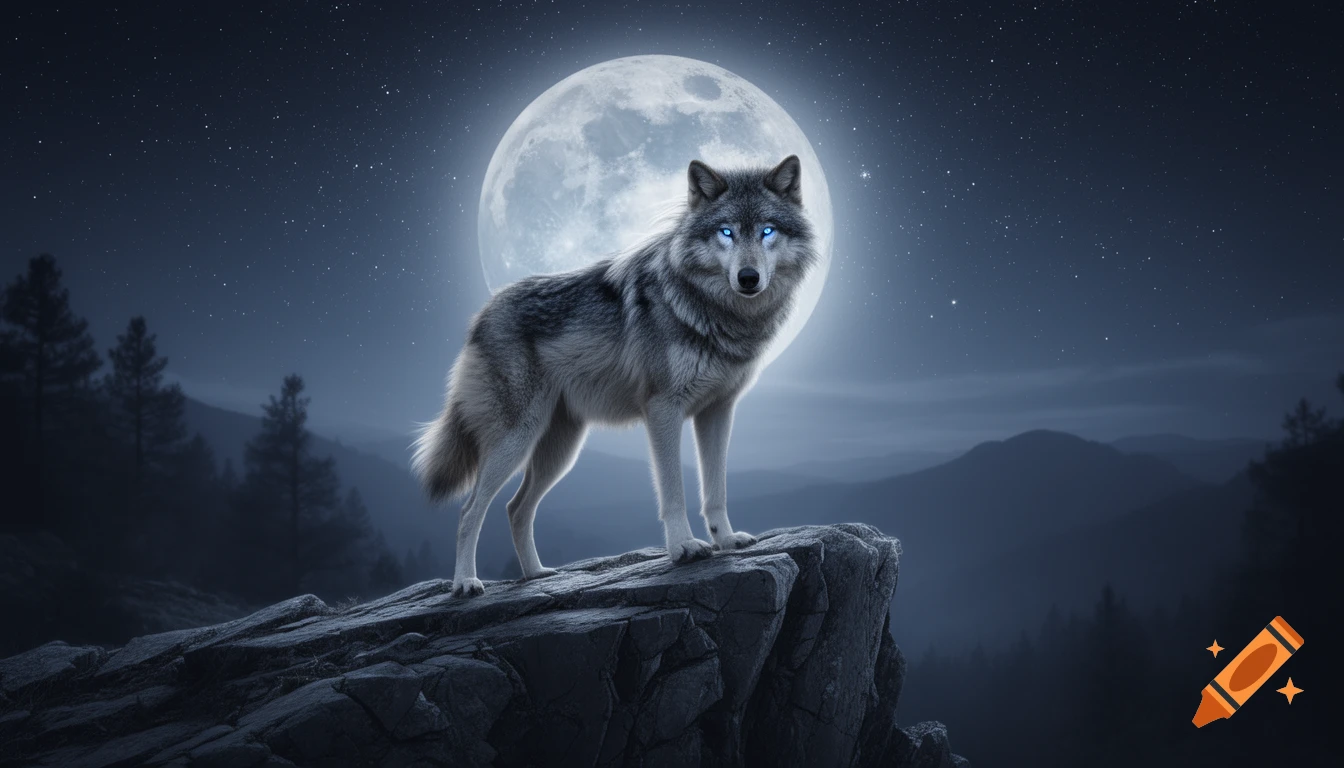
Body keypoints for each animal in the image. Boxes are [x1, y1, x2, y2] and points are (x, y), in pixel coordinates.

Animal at [412, 155, 817, 597]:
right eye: (726, 232)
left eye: (767, 231)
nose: (748, 278)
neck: (715, 313)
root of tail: (481, 315)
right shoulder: (663, 409)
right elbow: (673, 491)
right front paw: (684, 548)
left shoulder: (717, 412)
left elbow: (716, 490)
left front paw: (725, 540)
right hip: (515, 440)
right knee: (470, 510)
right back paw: (466, 583)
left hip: (559, 450)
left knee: (515, 508)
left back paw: (536, 575)